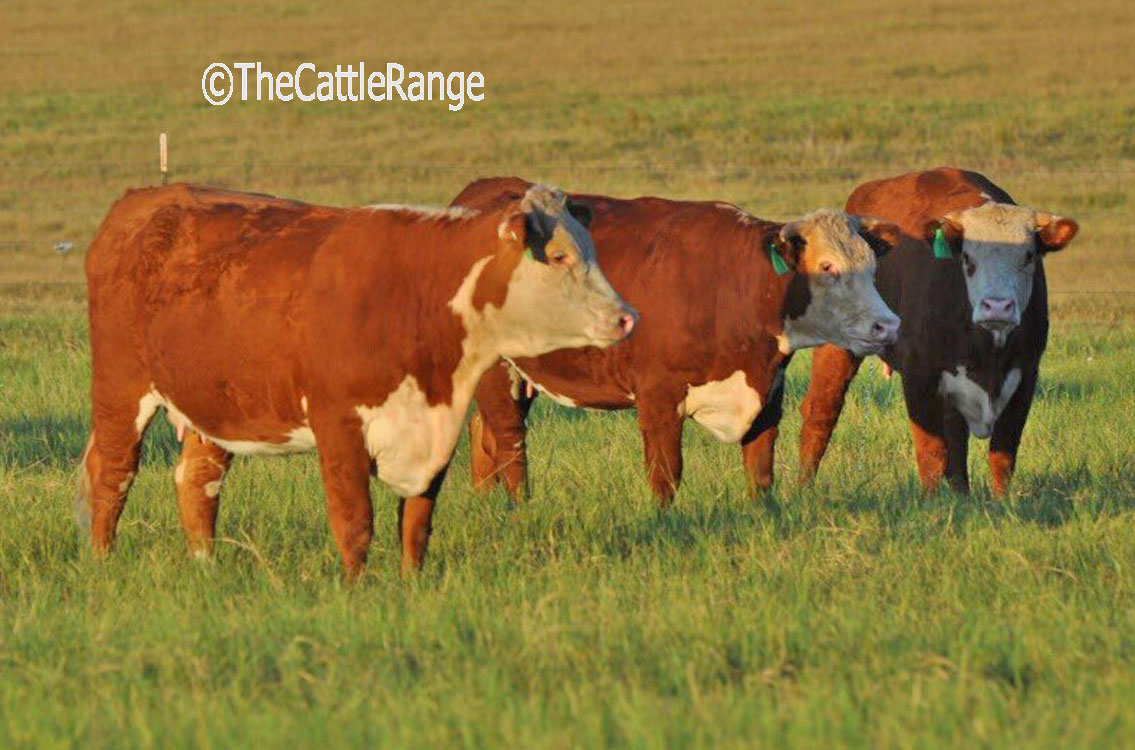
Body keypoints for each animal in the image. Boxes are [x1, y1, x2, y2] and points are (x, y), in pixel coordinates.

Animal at [76, 182, 637, 577]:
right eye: (560, 256)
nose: (627, 318)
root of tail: (144, 199)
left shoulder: (436, 428)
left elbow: (417, 521)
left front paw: (412, 585)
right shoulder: (337, 423)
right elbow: (355, 519)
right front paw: (355, 588)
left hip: (213, 402)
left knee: (197, 480)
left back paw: (206, 567)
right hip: (120, 388)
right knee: (113, 475)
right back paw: (102, 563)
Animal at [451, 177, 902, 505]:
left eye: (872, 265)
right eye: (827, 266)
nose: (887, 325)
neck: (733, 284)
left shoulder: (767, 396)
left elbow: (760, 471)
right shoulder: (658, 398)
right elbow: (666, 475)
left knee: (483, 432)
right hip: (499, 370)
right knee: (509, 440)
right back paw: (520, 507)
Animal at [796, 167, 1079, 495]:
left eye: (1029, 256)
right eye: (967, 258)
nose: (997, 306)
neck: (988, 351)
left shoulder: (1025, 376)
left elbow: (1002, 453)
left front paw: (1001, 501)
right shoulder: (920, 376)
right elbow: (931, 453)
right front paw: (932, 501)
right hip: (838, 348)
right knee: (820, 411)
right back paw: (804, 486)